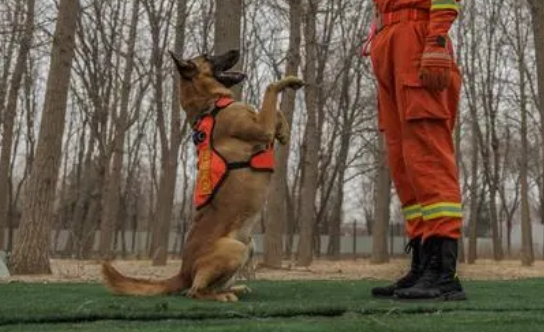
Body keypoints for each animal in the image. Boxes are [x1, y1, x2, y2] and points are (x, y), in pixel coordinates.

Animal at [101, 48, 306, 300]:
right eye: (208, 56)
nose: (236, 50)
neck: (210, 104)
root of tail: (183, 271)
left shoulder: (261, 124)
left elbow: (274, 109)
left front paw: (284, 130)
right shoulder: (260, 128)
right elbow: (271, 88)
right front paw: (288, 81)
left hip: (248, 246)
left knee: (205, 286)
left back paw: (233, 288)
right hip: (234, 248)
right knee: (194, 291)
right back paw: (222, 295)